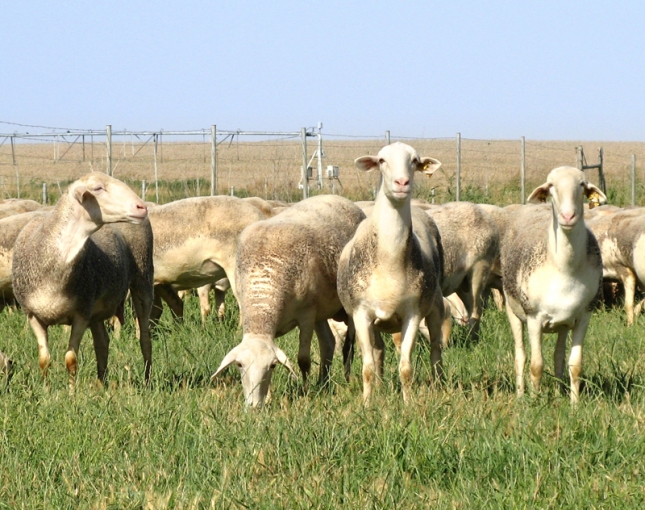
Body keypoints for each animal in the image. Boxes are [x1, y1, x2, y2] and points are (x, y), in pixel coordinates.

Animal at [12, 172, 154, 389]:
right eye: (97, 188)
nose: (141, 207)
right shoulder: (33, 315)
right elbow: (44, 360)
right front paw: (45, 390)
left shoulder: (81, 313)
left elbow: (71, 360)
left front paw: (71, 393)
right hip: (97, 306)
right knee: (102, 342)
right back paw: (101, 383)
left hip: (143, 279)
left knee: (145, 338)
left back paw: (146, 381)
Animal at [212, 194, 365, 407]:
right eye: (240, 365)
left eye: (271, 366)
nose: (254, 407)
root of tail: (339, 198)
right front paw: (269, 397)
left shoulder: (307, 315)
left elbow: (303, 359)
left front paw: (305, 390)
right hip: (321, 310)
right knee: (328, 342)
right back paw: (323, 383)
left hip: (344, 306)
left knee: (347, 347)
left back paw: (346, 379)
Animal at [337, 142, 445, 404]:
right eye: (382, 160)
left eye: (415, 161)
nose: (402, 183)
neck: (389, 262)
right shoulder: (361, 314)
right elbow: (367, 367)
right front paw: (367, 404)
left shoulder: (412, 314)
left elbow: (406, 368)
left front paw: (407, 404)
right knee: (378, 351)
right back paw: (380, 386)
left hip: (435, 304)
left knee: (436, 347)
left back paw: (439, 385)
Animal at [501, 166, 606, 404]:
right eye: (551, 187)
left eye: (582, 185)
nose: (567, 216)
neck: (564, 268)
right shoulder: (534, 318)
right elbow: (536, 365)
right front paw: (534, 402)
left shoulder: (584, 316)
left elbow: (575, 365)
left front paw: (575, 404)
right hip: (512, 310)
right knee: (520, 356)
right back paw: (521, 395)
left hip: (563, 323)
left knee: (558, 356)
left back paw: (559, 393)